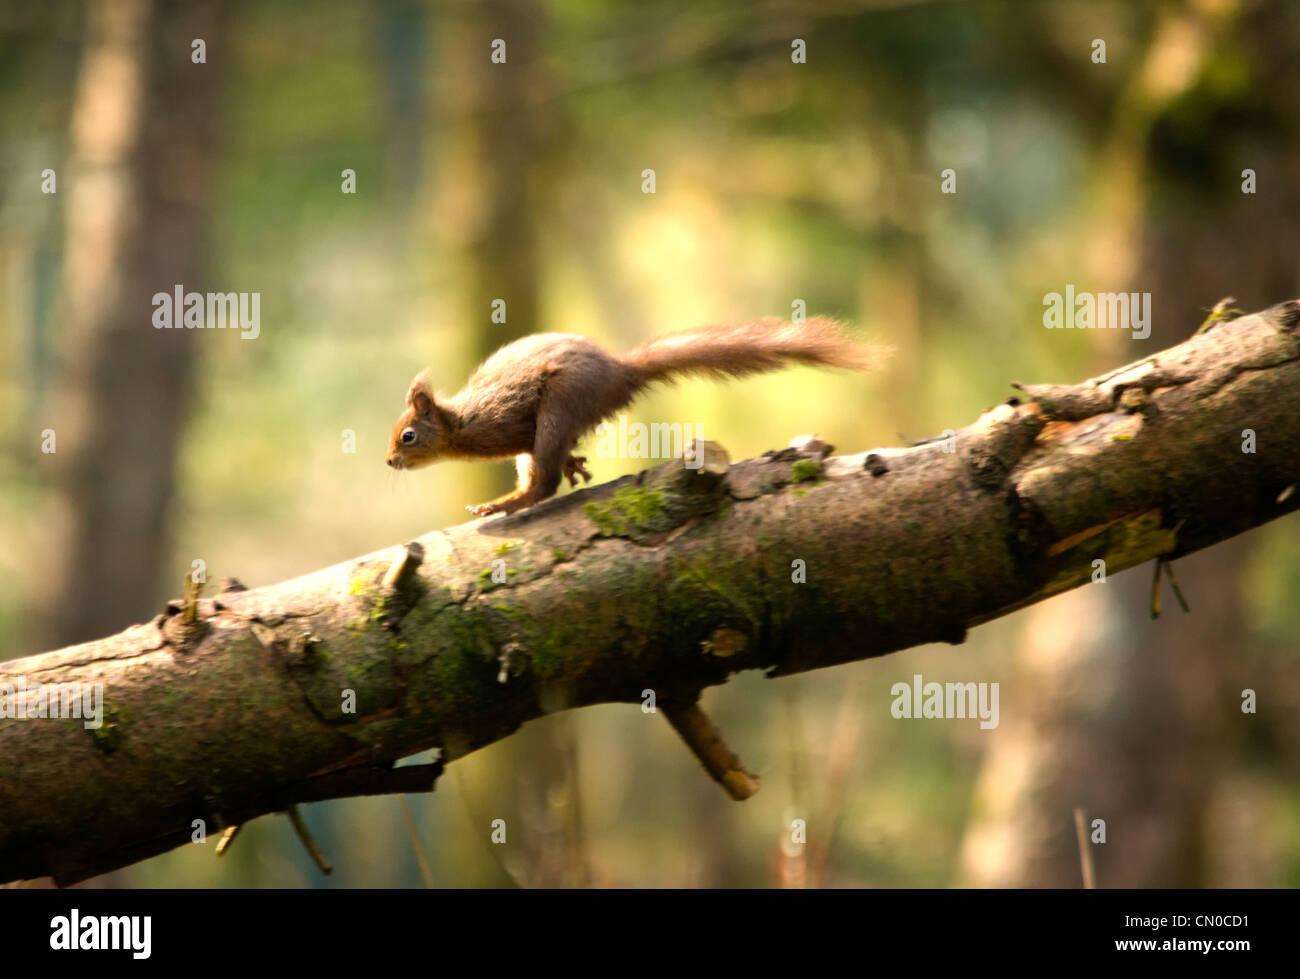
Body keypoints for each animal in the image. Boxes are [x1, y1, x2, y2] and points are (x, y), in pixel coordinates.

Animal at [382, 317, 883, 514]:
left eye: (407, 436)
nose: (388, 462)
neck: (459, 424)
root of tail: (619, 372)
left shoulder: (506, 417)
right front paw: (575, 463)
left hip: (563, 401)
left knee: (542, 483)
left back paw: (504, 504)